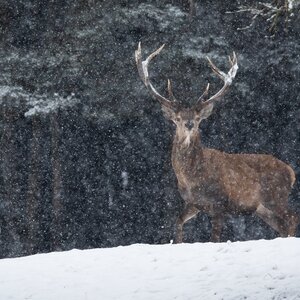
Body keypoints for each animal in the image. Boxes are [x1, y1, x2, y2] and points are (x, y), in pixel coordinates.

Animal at [135, 42, 298, 243]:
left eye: (198, 118)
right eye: (178, 118)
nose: (189, 124)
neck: (191, 178)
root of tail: (291, 172)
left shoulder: (220, 203)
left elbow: (214, 238)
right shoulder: (193, 203)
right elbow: (178, 221)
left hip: (275, 195)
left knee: (293, 217)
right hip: (262, 208)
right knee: (282, 225)